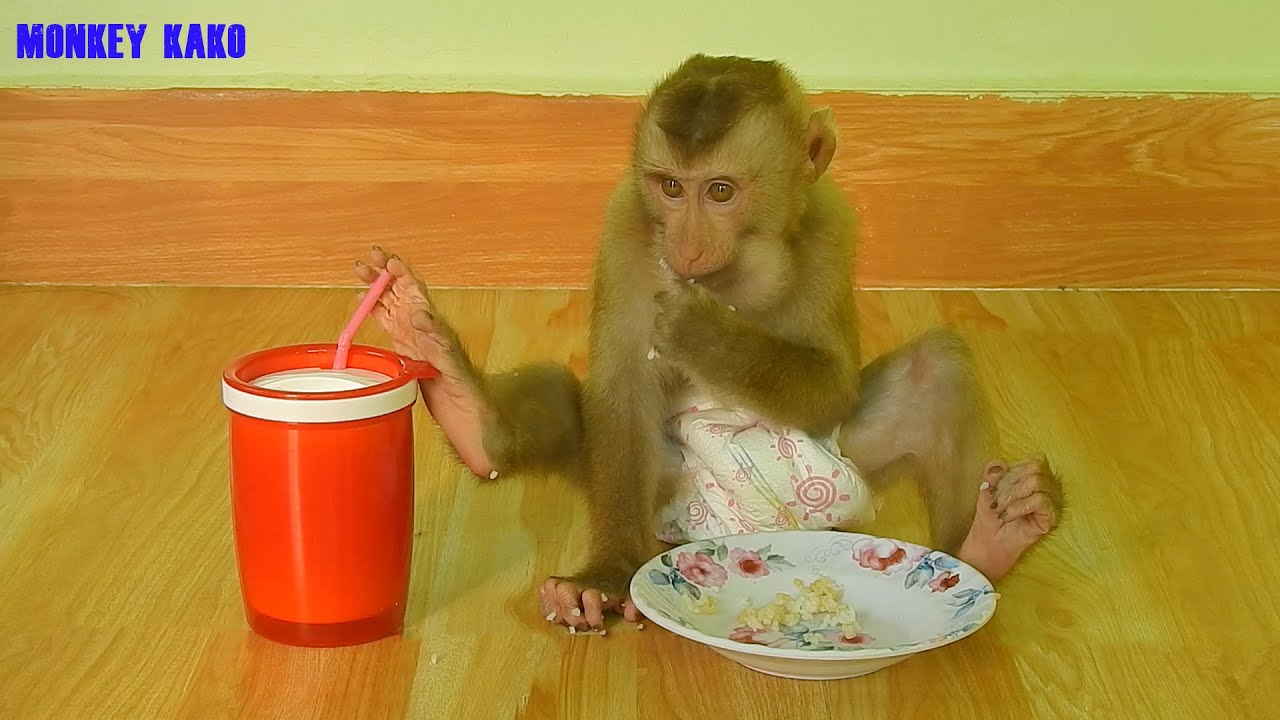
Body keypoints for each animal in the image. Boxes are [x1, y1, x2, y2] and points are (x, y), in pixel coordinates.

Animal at [351, 54, 1063, 633]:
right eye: (671, 187)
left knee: (934, 369)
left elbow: (834, 386)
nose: (686, 246)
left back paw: (985, 548)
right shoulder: (626, 224)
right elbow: (621, 384)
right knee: (569, 401)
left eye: (720, 191)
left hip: (845, 487)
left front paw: (708, 335)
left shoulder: (833, 224)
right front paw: (604, 577)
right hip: (664, 492)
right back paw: (471, 416)